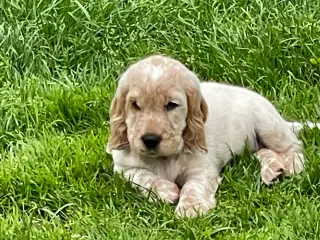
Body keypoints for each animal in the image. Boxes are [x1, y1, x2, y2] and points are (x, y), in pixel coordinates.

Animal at [106, 54, 318, 218]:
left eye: (172, 105)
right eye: (135, 104)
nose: (150, 139)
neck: (164, 158)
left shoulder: (203, 168)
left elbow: (194, 186)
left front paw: (191, 208)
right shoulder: (123, 168)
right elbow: (143, 176)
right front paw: (167, 190)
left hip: (268, 125)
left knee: (293, 145)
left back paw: (292, 165)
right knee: (264, 152)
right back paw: (272, 171)